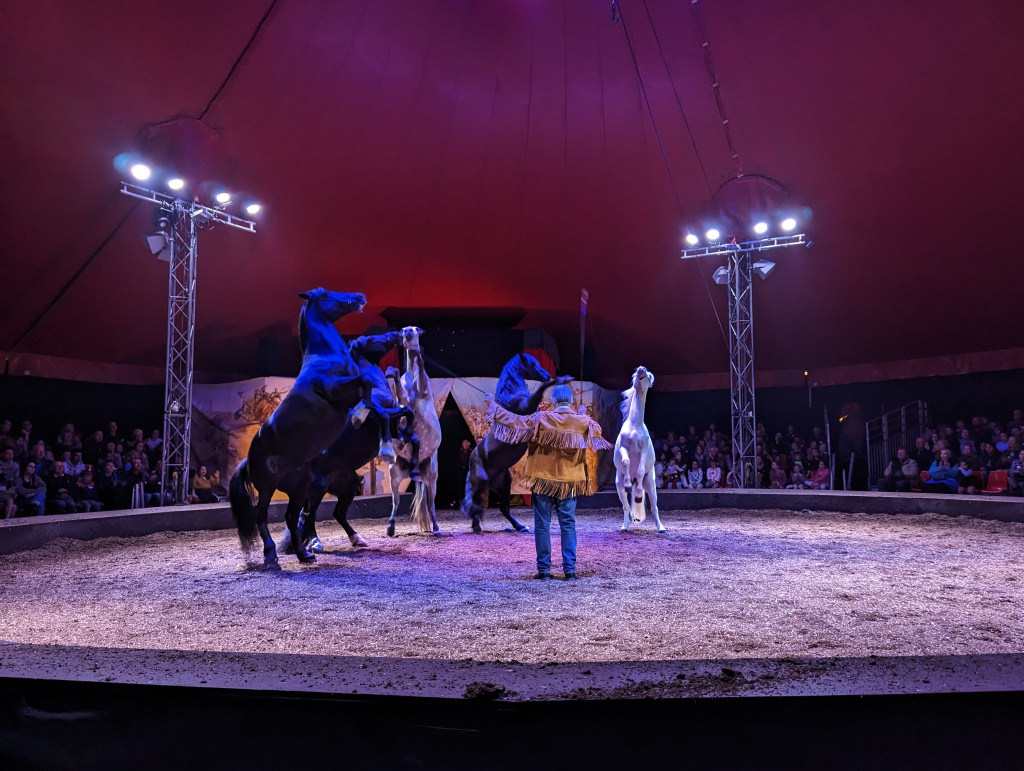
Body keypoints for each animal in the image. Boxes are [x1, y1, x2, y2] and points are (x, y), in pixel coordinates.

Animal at [385, 325, 440, 536]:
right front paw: (390, 371)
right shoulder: (402, 399)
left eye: (417, 330)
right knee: (396, 500)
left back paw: (436, 528)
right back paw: (390, 527)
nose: (408, 334)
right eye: (403, 330)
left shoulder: (423, 391)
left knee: (431, 504)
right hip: (394, 474)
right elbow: (398, 388)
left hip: (432, 478)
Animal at [462, 354, 573, 528]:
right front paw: (562, 379)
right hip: (480, 482)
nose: (547, 374)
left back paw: (519, 527)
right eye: (533, 364)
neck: (512, 397)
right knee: (473, 503)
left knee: (501, 508)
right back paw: (477, 526)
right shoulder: (528, 407)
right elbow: (542, 390)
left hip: (504, 484)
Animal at [610, 364, 667, 528]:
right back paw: (624, 526)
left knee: (654, 507)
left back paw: (661, 527)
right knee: (626, 507)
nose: (642, 369)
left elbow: (641, 470)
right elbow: (626, 461)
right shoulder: (624, 448)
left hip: (651, 486)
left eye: (648, 375)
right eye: (636, 374)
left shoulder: (644, 451)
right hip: (619, 487)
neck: (635, 426)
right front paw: (629, 485)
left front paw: (639, 494)